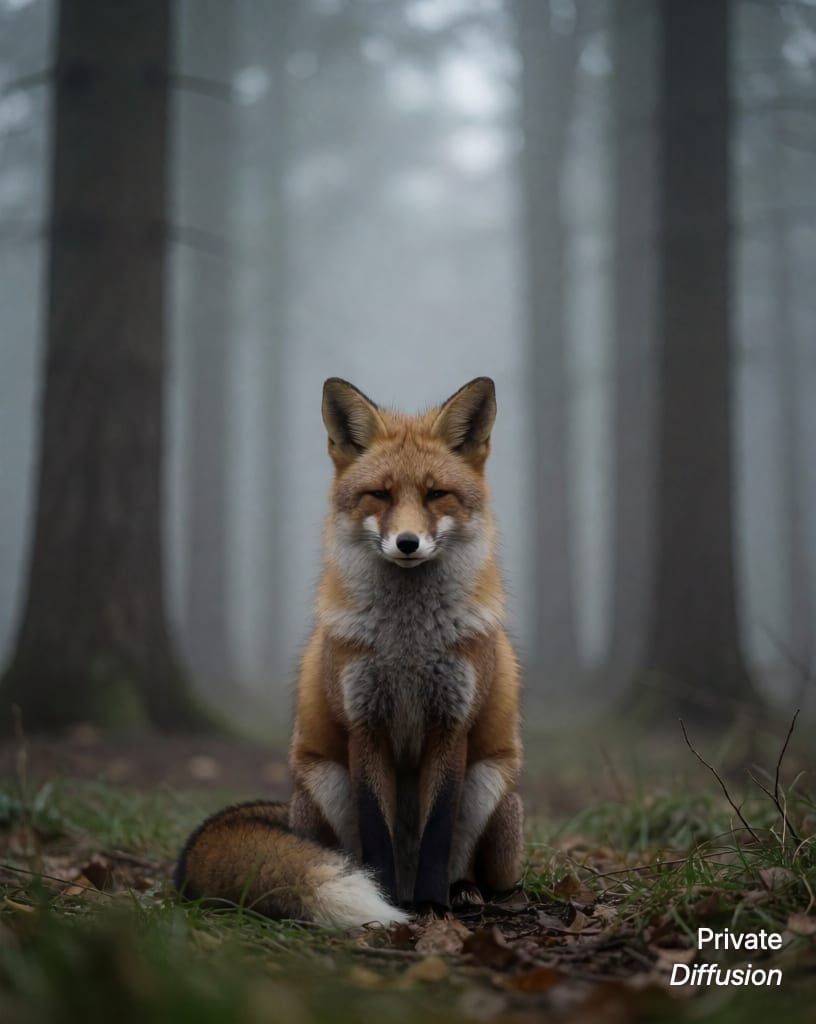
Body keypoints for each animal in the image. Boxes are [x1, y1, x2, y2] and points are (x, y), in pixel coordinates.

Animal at [175, 376, 524, 929]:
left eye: (435, 494)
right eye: (379, 494)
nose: (407, 543)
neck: (407, 646)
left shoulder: (452, 724)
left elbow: (438, 831)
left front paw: (431, 906)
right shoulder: (365, 724)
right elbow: (376, 831)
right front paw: (387, 901)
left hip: (489, 785)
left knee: (473, 864)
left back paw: (461, 890)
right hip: (326, 780)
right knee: (342, 850)